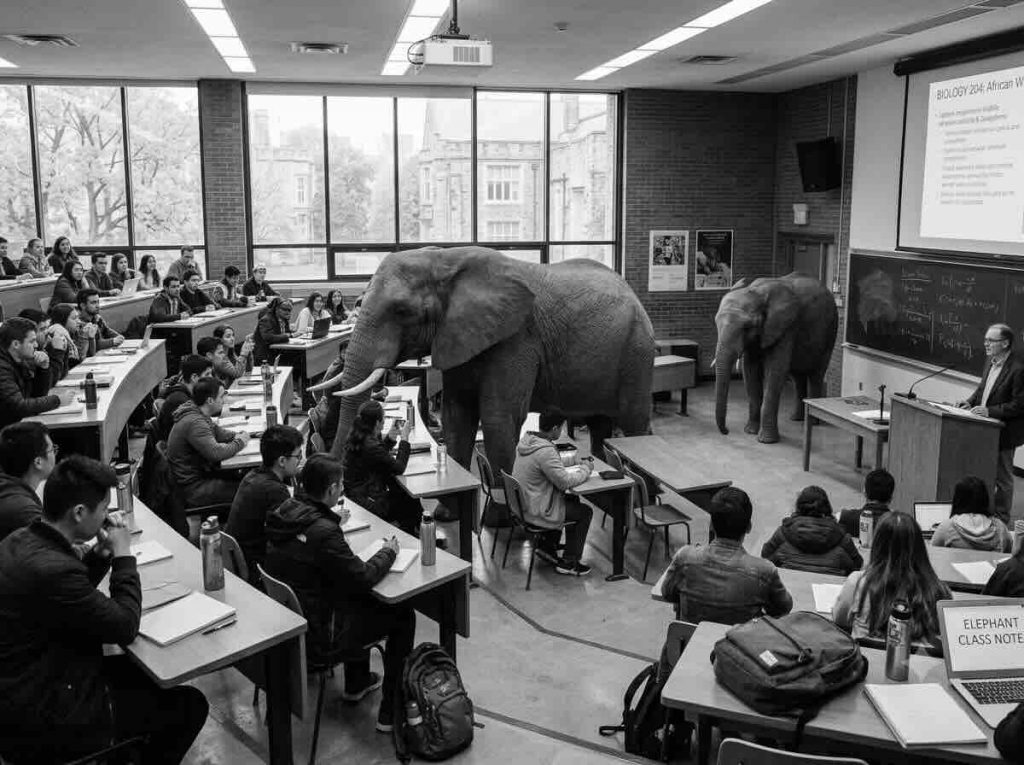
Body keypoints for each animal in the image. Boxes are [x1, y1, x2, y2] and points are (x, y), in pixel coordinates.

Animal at [310, 246, 656, 478]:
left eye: (402, 311)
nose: (333, 464)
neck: (444, 261)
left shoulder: (517, 338)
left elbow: (498, 419)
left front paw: (503, 511)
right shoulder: (458, 338)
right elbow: (457, 414)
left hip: (637, 352)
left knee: (634, 421)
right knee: (601, 426)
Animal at [714, 272, 838, 444]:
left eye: (747, 327)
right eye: (716, 323)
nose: (727, 431)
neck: (756, 292)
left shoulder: (786, 327)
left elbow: (776, 370)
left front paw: (766, 440)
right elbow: (750, 370)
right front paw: (750, 431)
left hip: (830, 332)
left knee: (816, 375)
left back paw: (812, 422)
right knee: (798, 377)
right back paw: (796, 419)